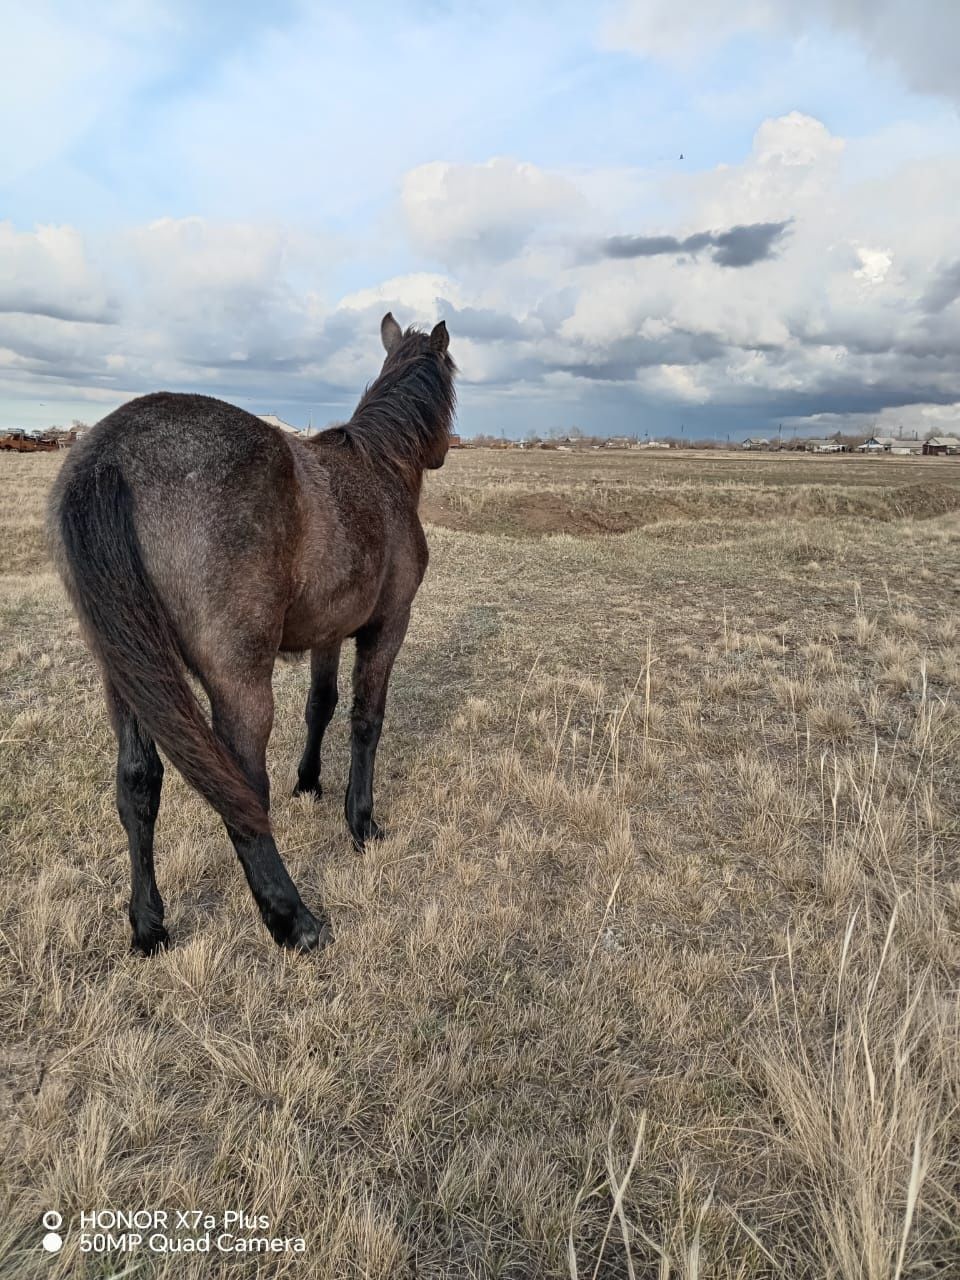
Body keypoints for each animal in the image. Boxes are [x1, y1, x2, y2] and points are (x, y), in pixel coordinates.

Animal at [48, 314, 458, 957]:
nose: (444, 451)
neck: (381, 471)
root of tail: (110, 456)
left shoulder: (327, 633)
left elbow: (321, 704)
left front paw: (310, 782)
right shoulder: (388, 626)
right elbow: (366, 720)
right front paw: (361, 823)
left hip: (127, 675)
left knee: (138, 785)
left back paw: (148, 927)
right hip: (239, 683)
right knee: (241, 789)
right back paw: (293, 919)